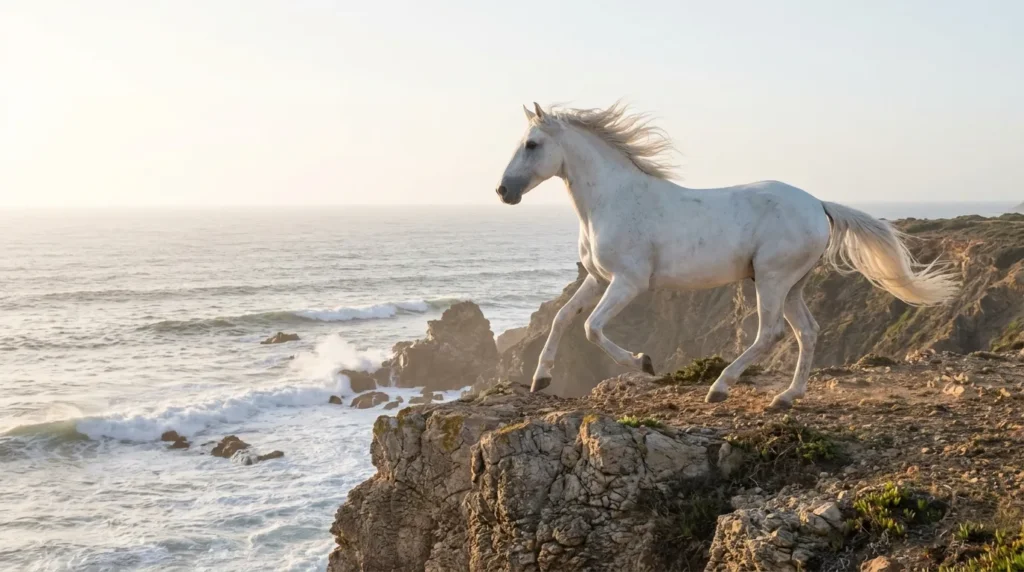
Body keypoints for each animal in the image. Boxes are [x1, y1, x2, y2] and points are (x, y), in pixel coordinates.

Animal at [495, 102, 957, 410]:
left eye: (532, 144)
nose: (503, 192)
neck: (613, 201)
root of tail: (819, 205)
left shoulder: (628, 282)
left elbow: (591, 328)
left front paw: (644, 363)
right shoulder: (597, 278)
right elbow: (562, 318)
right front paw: (540, 379)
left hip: (771, 279)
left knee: (771, 333)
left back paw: (719, 388)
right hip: (791, 285)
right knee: (807, 332)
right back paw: (787, 397)